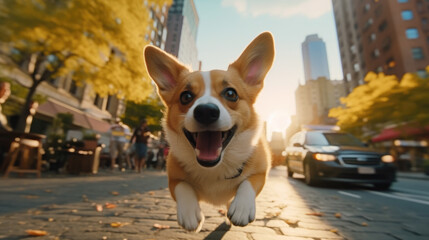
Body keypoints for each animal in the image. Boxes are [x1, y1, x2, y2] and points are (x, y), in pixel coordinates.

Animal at [143, 31, 274, 231]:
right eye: (186, 96)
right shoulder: (173, 179)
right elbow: (182, 187)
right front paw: (189, 213)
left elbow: (248, 183)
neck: (214, 167)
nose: (205, 111)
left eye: (231, 94)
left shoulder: (261, 172)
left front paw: (242, 207)